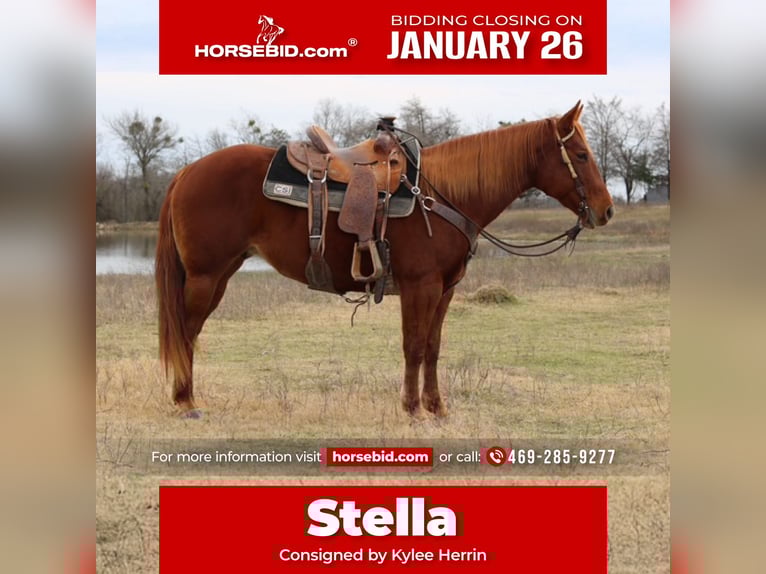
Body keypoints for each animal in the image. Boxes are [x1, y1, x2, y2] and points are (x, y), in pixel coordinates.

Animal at [155, 101, 614, 418]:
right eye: (581, 155)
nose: (606, 210)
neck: (442, 195)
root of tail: (187, 171)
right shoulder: (419, 286)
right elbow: (413, 346)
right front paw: (412, 409)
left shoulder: (445, 290)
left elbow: (432, 347)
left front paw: (436, 407)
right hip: (205, 276)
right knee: (187, 331)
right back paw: (185, 401)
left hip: (221, 274)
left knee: (189, 331)